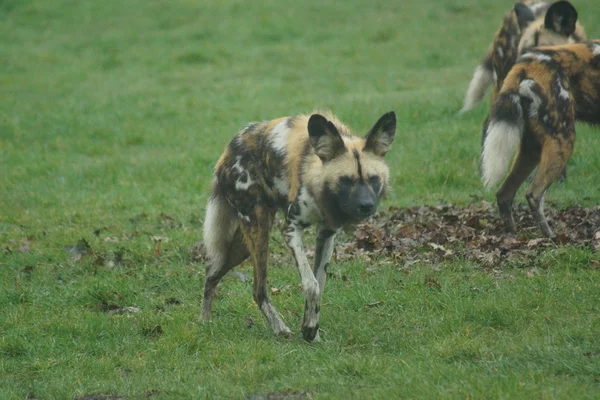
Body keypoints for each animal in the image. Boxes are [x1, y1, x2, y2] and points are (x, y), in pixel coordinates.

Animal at [203, 111, 398, 342]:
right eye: (346, 180)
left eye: (374, 179)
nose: (366, 206)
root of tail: (228, 150)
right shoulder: (291, 229)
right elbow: (311, 285)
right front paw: (309, 329)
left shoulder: (327, 234)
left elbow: (319, 284)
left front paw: (312, 330)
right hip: (259, 231)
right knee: (258, 290)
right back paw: (279, 328)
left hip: (244, 244)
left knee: (212, 272)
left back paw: (205, 322)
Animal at [478, 39, 600, 238]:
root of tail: (526, 63)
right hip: (562, 140)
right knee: (534, 194)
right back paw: (550, 237)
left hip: (532, 148)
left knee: (504, 194)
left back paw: (513, 234)